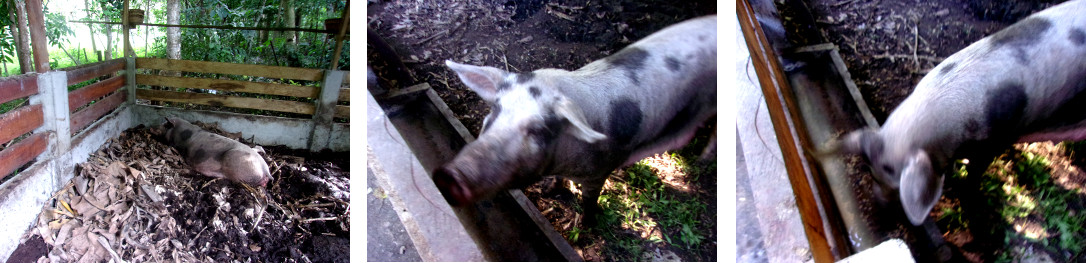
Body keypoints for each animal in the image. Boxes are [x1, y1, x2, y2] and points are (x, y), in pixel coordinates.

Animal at [427, 14, 716, 223]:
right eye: (495, 110)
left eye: (539, 129)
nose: (450, 176)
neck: (566, 158)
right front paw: (548, 190)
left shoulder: (600, 172)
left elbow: (589, 200)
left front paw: (584, 224)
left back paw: (703, 158)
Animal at [829, 0, 1086, 226]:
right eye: (870, 173)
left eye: (895, 182)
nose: (880, 210)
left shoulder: (996, 140)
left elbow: (976, 171)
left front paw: (968, 195)